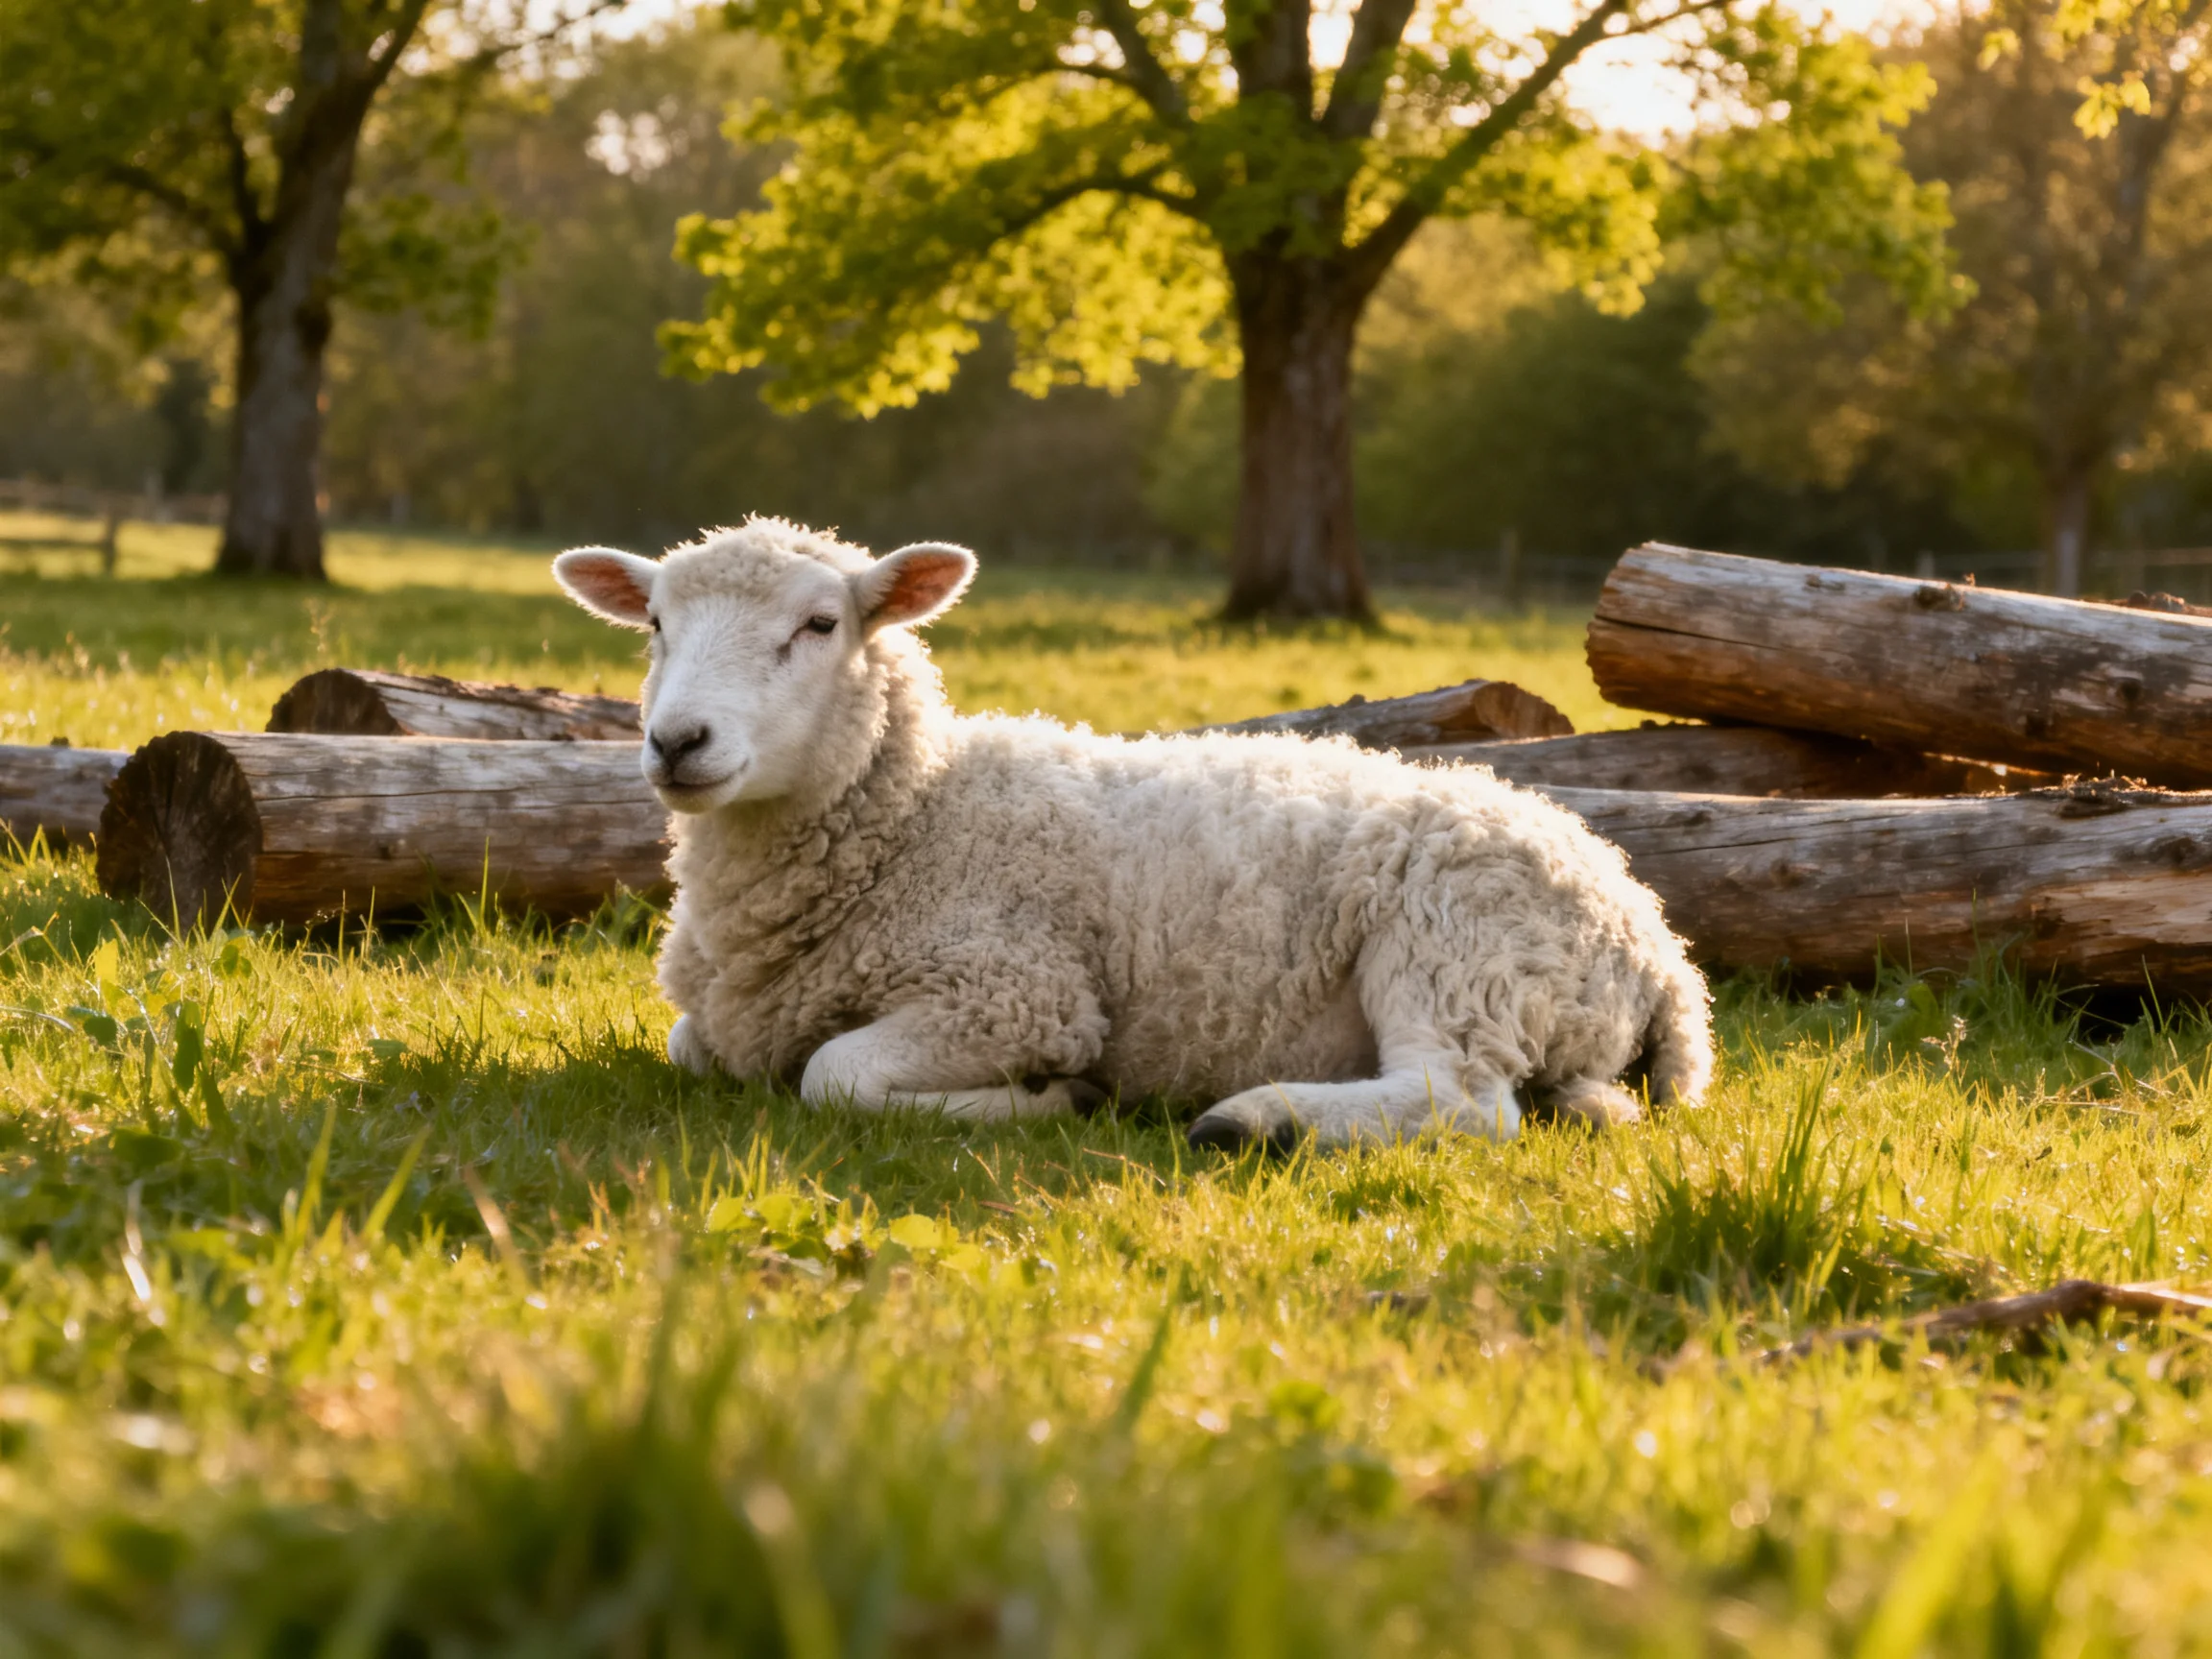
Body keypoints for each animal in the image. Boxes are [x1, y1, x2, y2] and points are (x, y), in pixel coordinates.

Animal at [552, 518, 1714, 1149]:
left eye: (820, 624)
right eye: (654, 626)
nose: (677, 740)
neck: (918, 811)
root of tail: (1658, 943)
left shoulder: (1017, 991)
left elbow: (834, 1077)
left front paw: (1049, 1099)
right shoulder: (723, 1024)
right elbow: (692, 1047)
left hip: (1458, 944)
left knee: (1460, 1100)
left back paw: (1254, 1121)